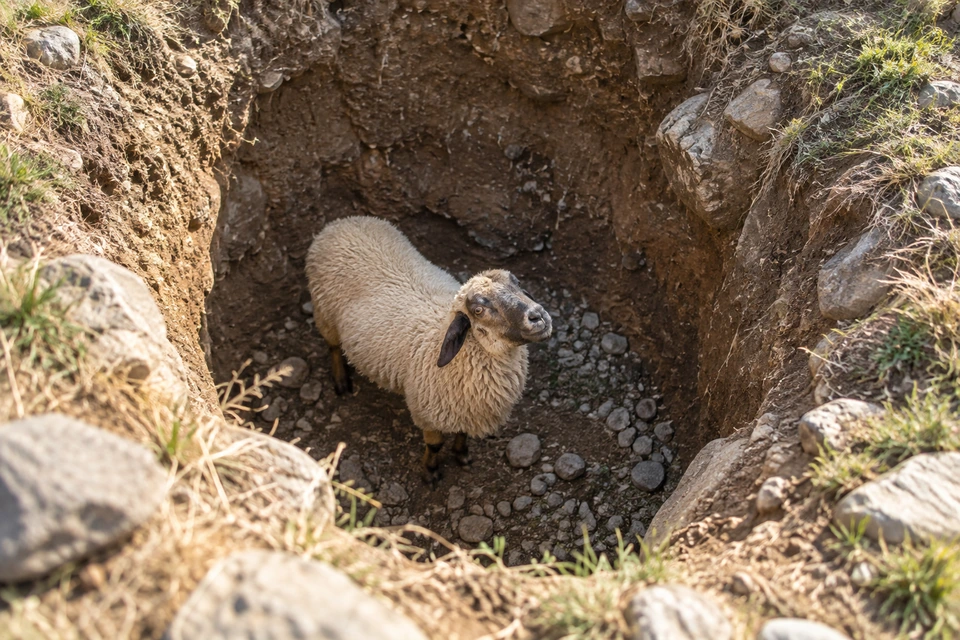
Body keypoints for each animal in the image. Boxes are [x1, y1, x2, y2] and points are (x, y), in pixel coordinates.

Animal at [305, 216, 553, 483]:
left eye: (518, 284)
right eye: (478, 309)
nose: (538, 316)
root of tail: (342, 222)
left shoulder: (469, 410)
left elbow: (462, 435)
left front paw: (462, 455)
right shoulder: (428, 413)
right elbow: (434, 445)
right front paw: (431, 471)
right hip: (325, 313)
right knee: (333, 346)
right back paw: (341, 381)